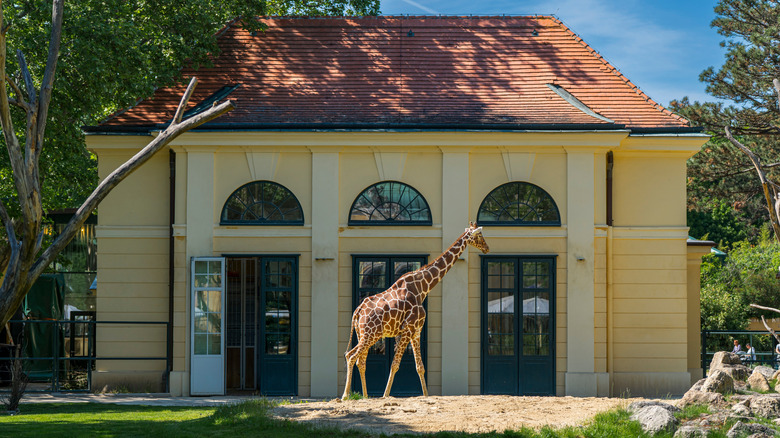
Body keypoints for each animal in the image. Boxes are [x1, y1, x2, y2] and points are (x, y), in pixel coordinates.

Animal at [341, 222, 490, 400]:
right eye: (479, 235)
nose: (487, 248)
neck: (423, 287)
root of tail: (357, 311)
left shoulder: (416, 330)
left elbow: (420, 366)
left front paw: (425, 396)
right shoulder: (408, 328)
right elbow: (395, 364)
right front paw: (385, 396)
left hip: (364, 334)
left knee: (360, 360)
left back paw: (365, 396)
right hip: (370, 335)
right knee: (351, 356)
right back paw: (345, 396)